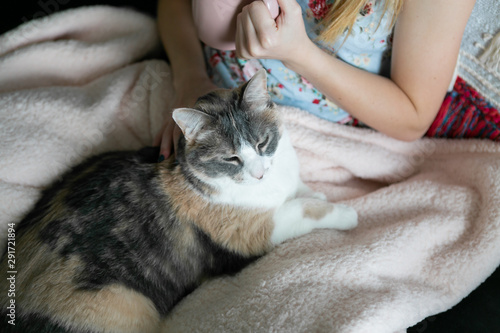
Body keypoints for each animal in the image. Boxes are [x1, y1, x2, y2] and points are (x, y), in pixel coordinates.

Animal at [1, 68, 358, 330]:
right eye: (231, 159)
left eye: (262, 143)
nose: (258, 174)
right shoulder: (251, 232)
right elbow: (304, 208)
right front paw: (346, 214)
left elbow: (303, 191)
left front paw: (317, 191)